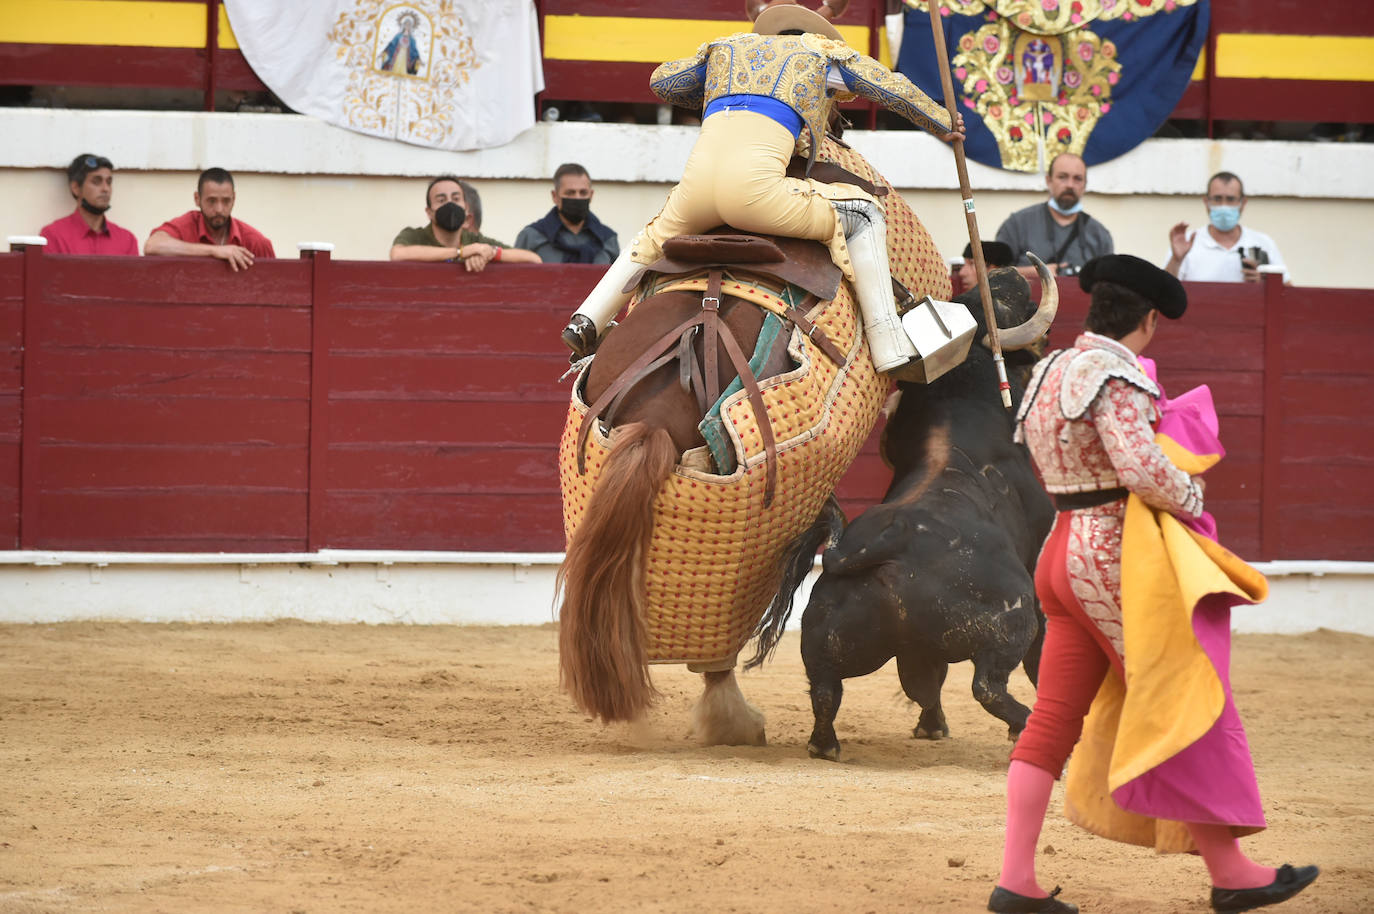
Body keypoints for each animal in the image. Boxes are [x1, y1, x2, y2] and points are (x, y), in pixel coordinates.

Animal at [796, 268, 1049, 758]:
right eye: (1006, 302)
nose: (1007, 270)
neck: (955, 408)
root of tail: (890, 542)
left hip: (826, 634)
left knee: (826, 689)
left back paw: (826, 744)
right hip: (1011, 621)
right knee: (988, 685)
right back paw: (1024, 725)